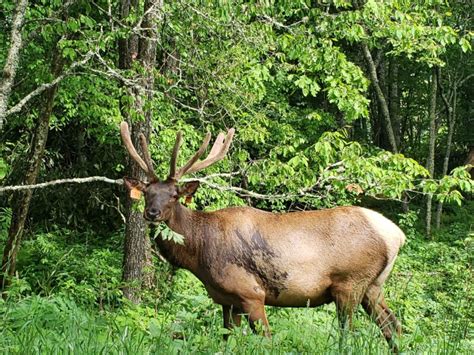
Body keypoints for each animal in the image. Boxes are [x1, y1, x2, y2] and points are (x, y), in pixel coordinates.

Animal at [121, 121, 404, 350]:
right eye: (147, 193)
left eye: (174, 195)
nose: (152, 212)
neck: (201, 255)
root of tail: (396, 235)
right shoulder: (227, 301)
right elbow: (227, 341)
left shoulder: (252, 293)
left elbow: (266, 341)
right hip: (373, 286)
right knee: (393, 326)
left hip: (350, 282)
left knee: (351, 335)